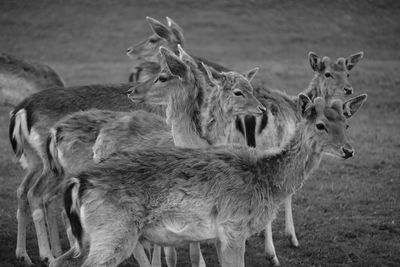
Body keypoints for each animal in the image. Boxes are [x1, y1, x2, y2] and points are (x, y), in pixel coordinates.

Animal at [61, 90, 366, 267]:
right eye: (320, 125)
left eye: (347, 123)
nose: (349, 150)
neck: (267, 180)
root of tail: (79, 182)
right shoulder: (233, 226)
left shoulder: (221, 235)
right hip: (112, 232)